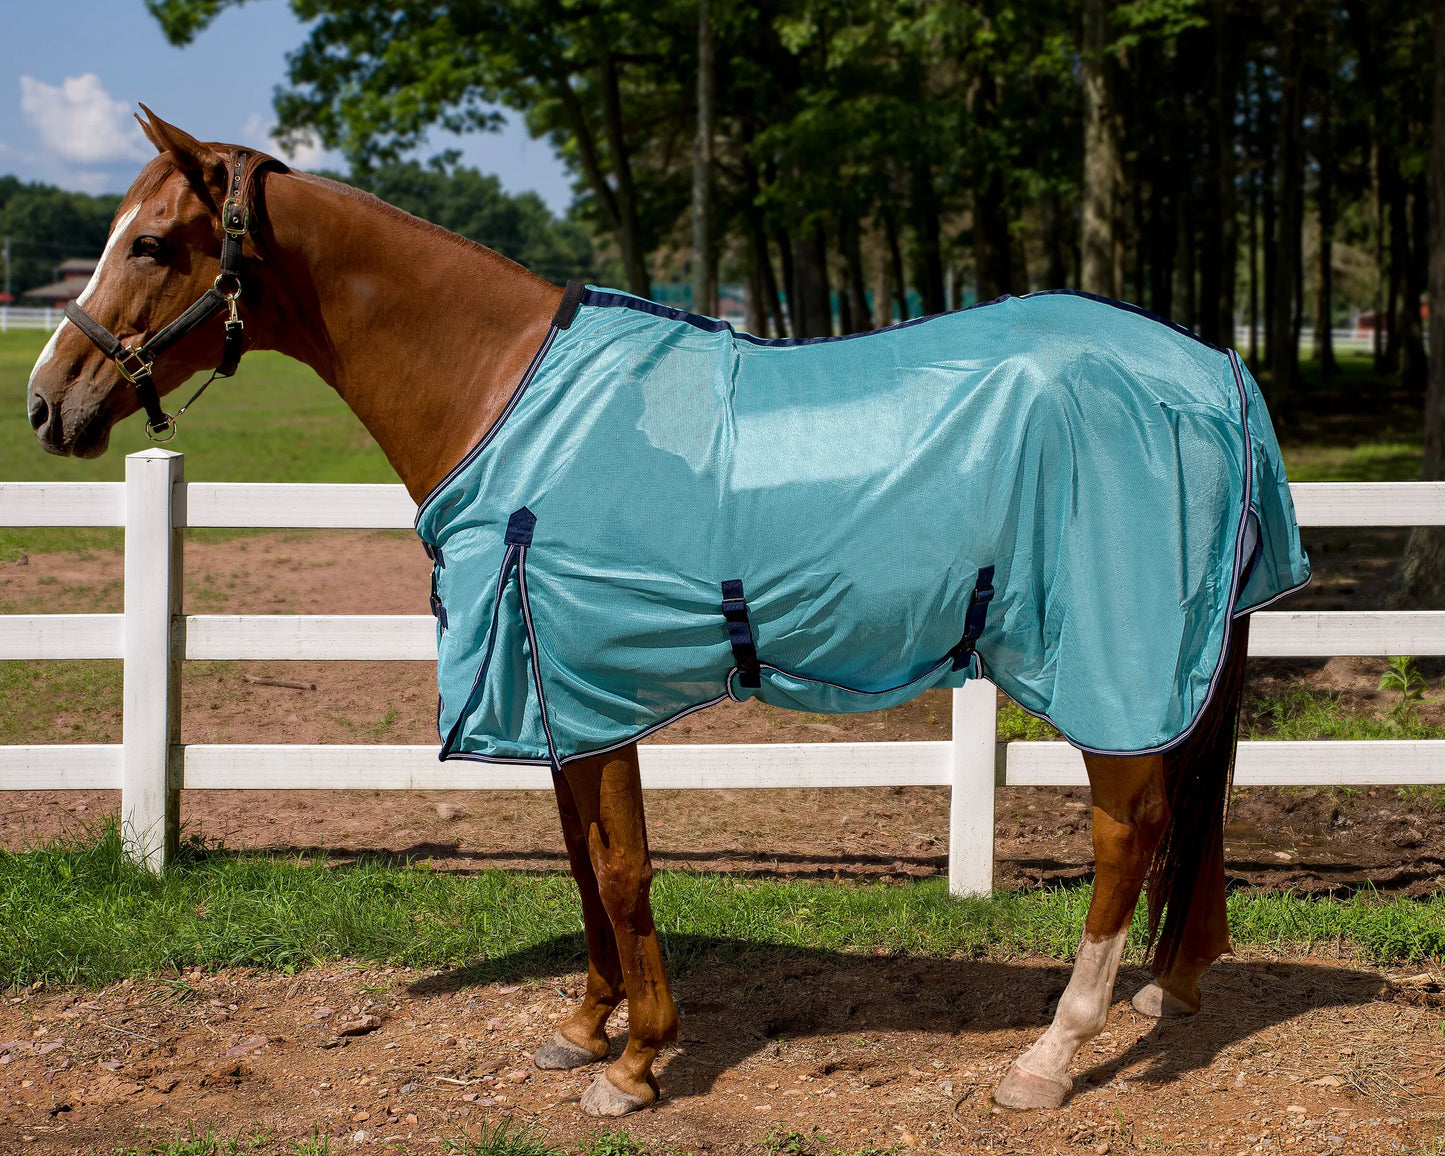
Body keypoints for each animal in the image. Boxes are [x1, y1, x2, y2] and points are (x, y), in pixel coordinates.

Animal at [27, 110, 1307, 1118]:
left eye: (152, 242)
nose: (47, 404)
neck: (506, 388)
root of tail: (1213, 368)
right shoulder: (554, 688)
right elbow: (582, 862)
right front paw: (582, 1026)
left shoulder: (589, 680)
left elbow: (622, 865)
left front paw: (636, 1062)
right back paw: (1169, 988)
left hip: (1111, 662)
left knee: (1126, 833)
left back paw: (1047, 1056)